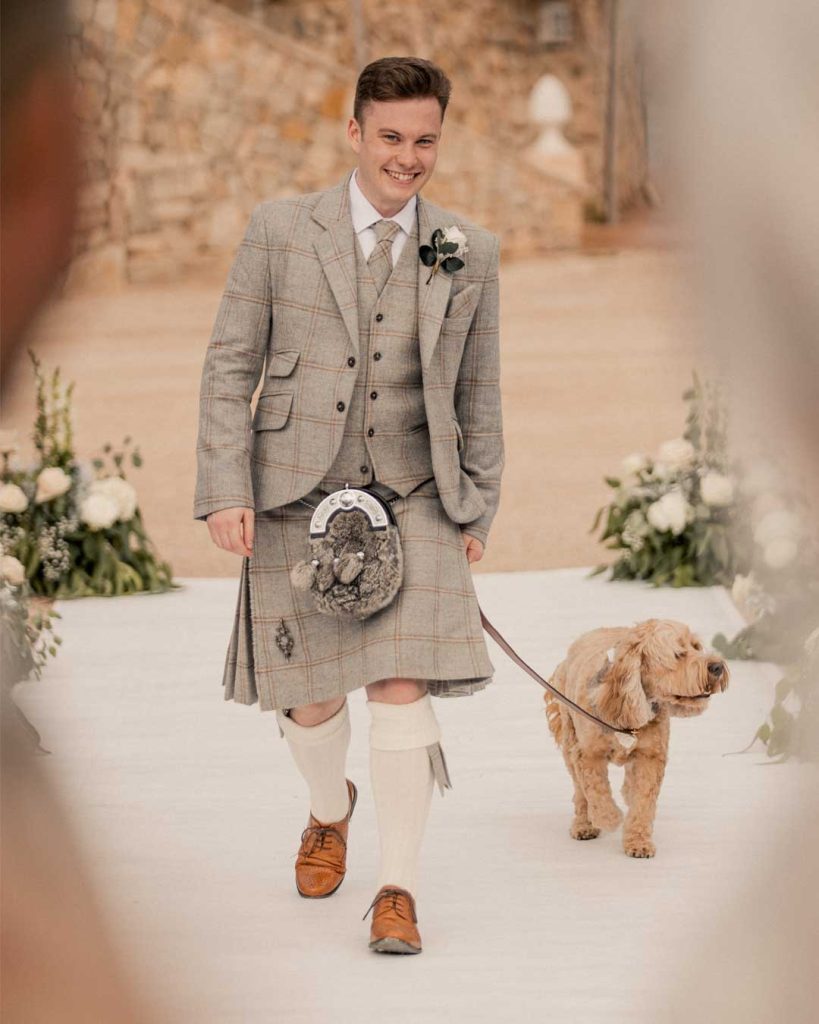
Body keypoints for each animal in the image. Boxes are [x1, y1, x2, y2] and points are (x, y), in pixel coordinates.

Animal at [544, 618, 728, 860]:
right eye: (678, 654)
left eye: (697, 646)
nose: (717, 666)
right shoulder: (587, 755)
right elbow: (596, 792)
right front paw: (610, 818)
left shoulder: (650, 757)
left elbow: (643, 803)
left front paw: (638, 842)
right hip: (569, 742)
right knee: (580, 791)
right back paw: (584, 825)